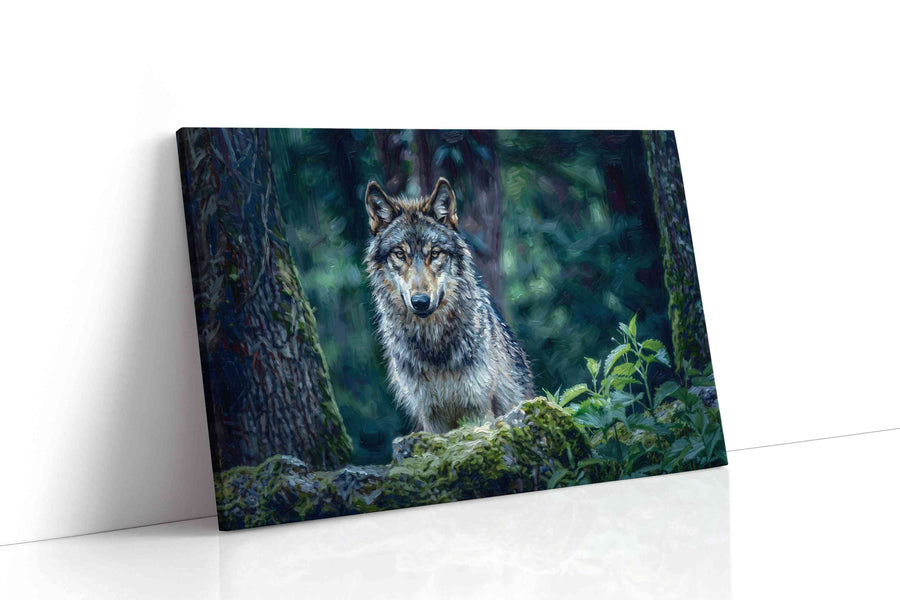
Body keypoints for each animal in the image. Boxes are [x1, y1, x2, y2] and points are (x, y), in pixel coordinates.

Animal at [364, 177, 534, 433]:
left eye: (435, 253)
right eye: (400, 254)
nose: (420, 302)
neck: (434, 346)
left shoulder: (478, 407)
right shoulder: (431, 415)